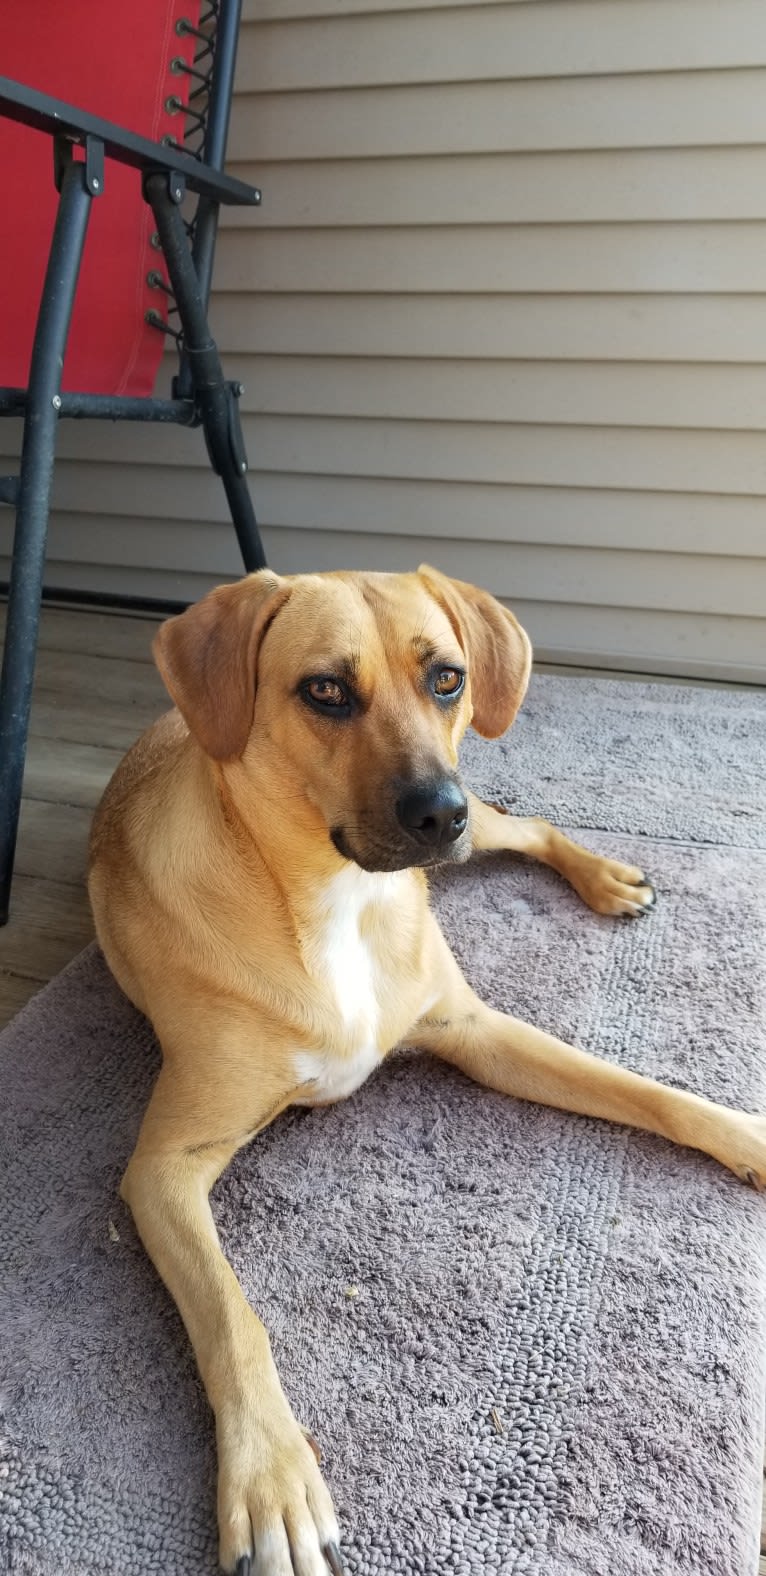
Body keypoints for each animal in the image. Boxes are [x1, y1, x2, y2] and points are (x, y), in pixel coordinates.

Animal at [88, 567, 759, 1576]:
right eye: (325, 690)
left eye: (446, 678)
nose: (436, 812)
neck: (336, 904)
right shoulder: (164, 1168)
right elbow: (234, 1321)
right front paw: (271, 1480)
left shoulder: (478, 1031)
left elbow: (644, 1090)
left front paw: (744, 1133)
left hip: (485, 832)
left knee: (528, 825)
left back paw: (604, 877)